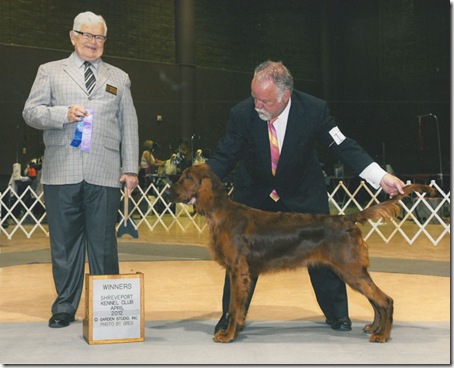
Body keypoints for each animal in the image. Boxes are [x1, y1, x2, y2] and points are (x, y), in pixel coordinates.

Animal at [166, 164, 432, 342]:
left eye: (187, 177)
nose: (168, 193)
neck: (223, 213)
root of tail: (346, 218)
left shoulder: (238, 271)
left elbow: (234, 308)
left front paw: (228, 335)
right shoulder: (239, 272)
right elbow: (236, 308)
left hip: (351, 270)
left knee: (385, 300)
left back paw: (382, 335)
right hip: (352, 271)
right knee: (376, 301)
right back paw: (375, 328)